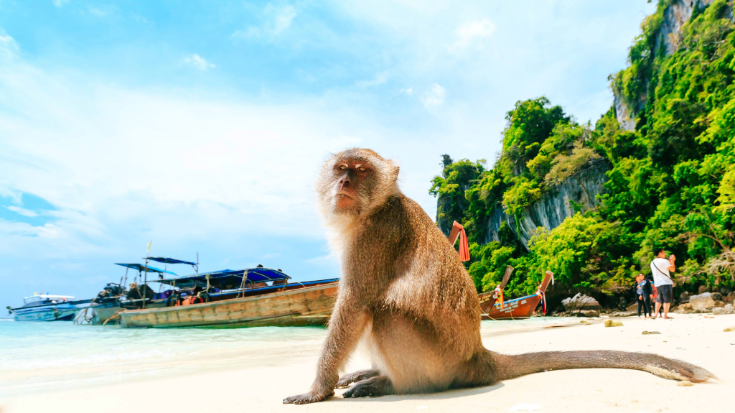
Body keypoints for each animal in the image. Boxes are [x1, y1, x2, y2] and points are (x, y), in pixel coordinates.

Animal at [283, 148, 714, 405]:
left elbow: (355, 304)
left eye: (360, 171)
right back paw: (374, 373)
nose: (344, 182)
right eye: (341, 169)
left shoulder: (374, 237)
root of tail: (478, 357)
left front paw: (317, 391)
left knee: (384, 310)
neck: (375, 207)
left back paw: (391, 384)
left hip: (438, 362)